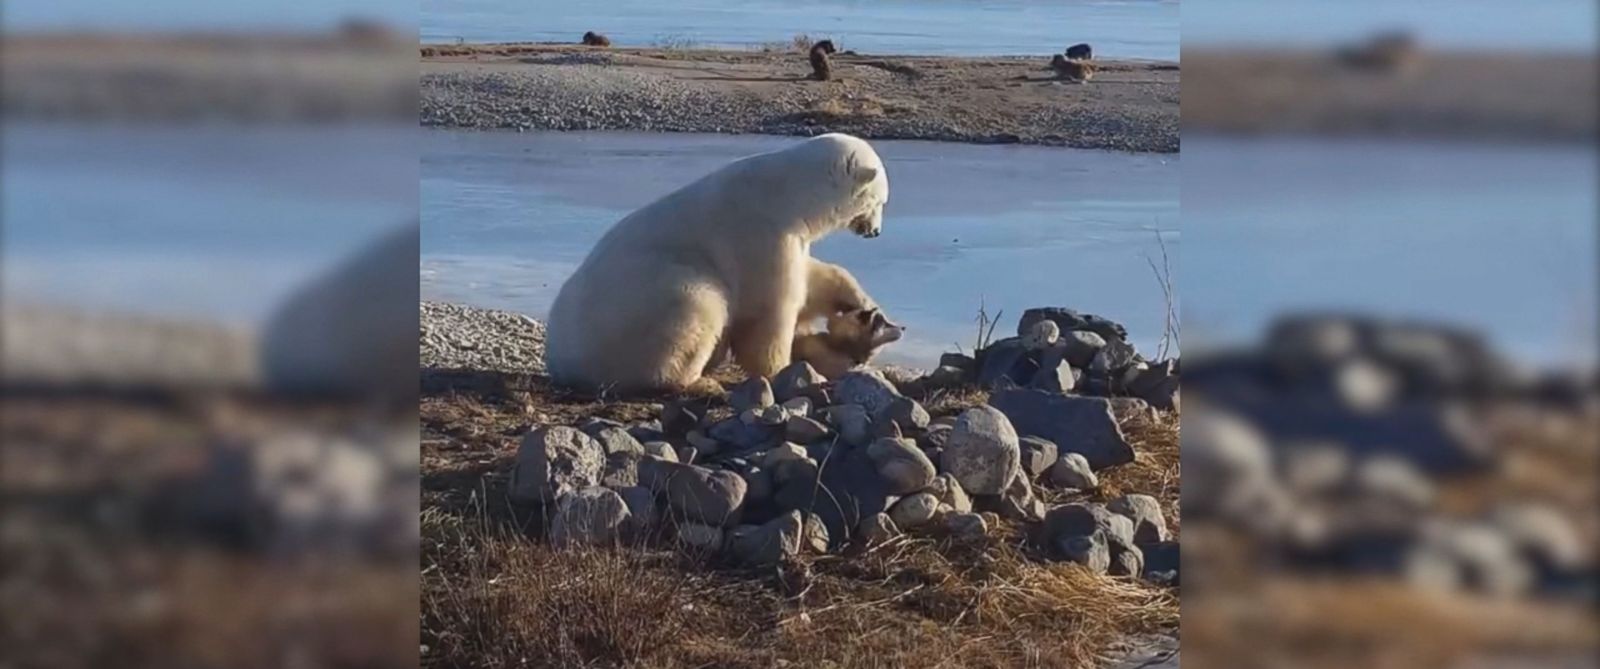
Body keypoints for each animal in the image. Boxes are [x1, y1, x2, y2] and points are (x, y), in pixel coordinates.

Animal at [540, 133, 889, 395]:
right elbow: (768, 309)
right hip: (641, 306)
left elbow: (812, 278)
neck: (787, 193)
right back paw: (698, 382)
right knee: (698, 306)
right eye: (880, 201)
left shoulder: (791, 238)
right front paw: (781, 368)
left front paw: (860, 302)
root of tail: (561, 359)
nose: (875, 232)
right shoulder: (759, 234)